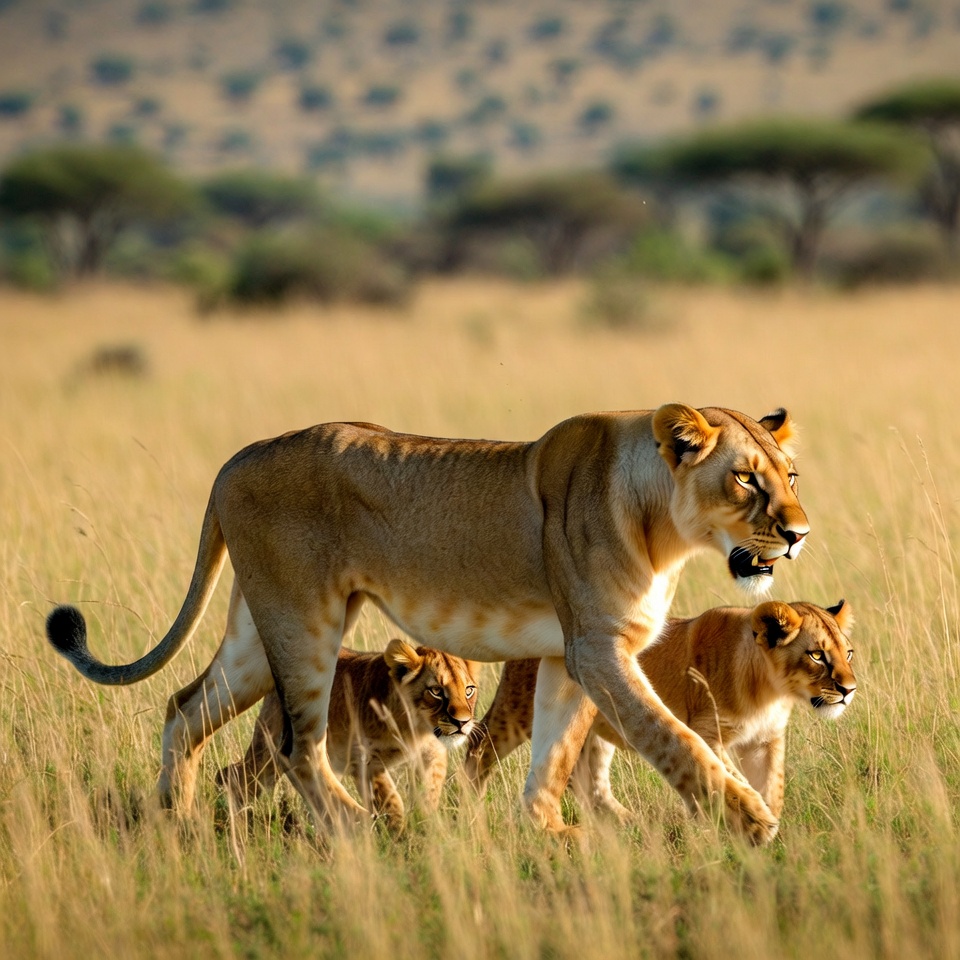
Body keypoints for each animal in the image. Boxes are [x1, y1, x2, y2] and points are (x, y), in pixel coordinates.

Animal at [216, 588, 478, 830]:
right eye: (436, 691)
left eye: (468, 691)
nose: (463, 722)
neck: (416, 728)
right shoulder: (363, 758)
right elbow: (390, 797)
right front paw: (397, 829)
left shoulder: (434, 753)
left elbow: (430, 789)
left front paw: (425, 822)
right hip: (272, 750)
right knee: (238, 776)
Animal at [464, 599, 856, 821]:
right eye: (816, 655)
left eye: (848, 653)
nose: (849, 690)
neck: (771, 693)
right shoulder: (706, 731)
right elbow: (729, 774)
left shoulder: (765, 741)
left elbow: (773, 787)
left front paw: (768, 830)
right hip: (519, 710)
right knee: (478, 746)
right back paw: (468, 810)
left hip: (599, 720)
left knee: (590, 783)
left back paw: (626, 823)